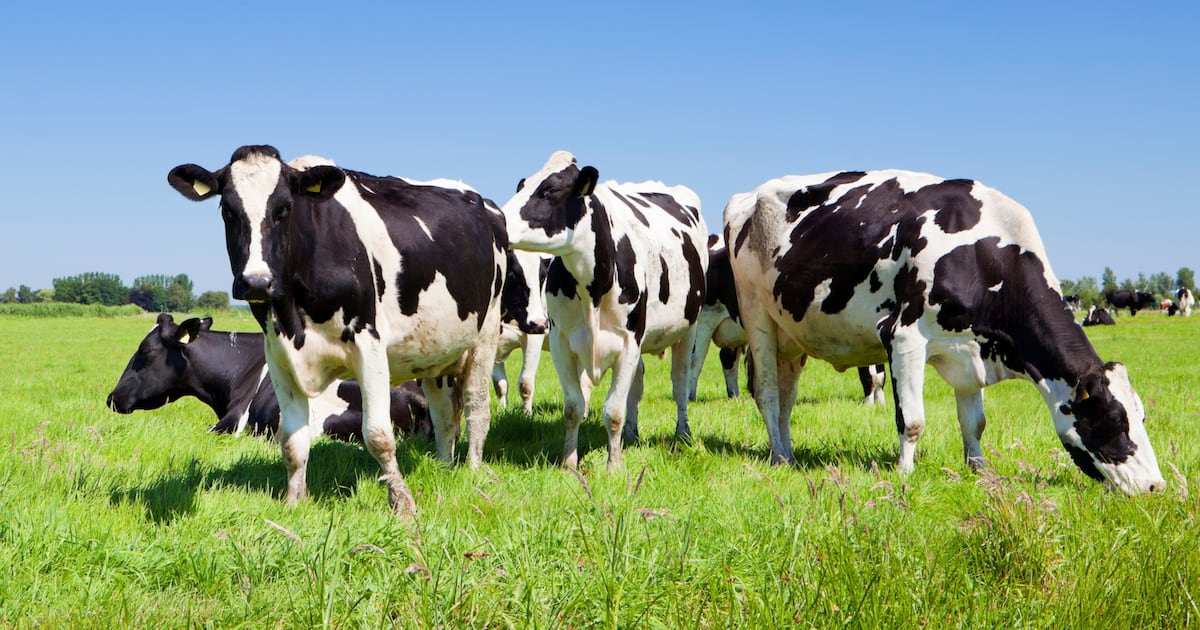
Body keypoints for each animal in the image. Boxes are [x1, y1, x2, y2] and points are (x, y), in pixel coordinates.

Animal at [167, 146, 507, 516]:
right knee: (444, 413)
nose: (257, 282)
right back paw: (444, 467)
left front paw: (402, 504)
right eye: (228, 210)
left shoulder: (368, 344)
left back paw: (472, 471)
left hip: (486, 332)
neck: (295, 318)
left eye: (285, 208)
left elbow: (378, 435)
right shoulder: (278, 356)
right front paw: (294, 503)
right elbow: (293, 441)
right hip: (435, 352)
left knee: (476, 406)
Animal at [493, 248, 552, 415]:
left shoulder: (534, 337)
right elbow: (500, 385)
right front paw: (501, 411)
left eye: (543, 277)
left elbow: (525, 384)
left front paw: (526, 415)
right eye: (512, 275)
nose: (539, 323)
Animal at [500, 151, 708, 470]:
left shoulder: (629, 341)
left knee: (680, 381)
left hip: (689, 328)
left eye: (550, 190)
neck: (593, 287)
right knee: (638, 383)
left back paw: (682, 434)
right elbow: (574, 406)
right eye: (521, 186)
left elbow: (613, 411)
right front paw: (569, 463)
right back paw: (632, 434)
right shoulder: (561, 342)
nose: (496, 219)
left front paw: (614, 467)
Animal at [725, 169, 1164, 494]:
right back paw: (779, 457)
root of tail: (747, 196)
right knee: (767, 393)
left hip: (792, 335)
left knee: (787, 398)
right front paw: (903, 474)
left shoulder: (971, 351)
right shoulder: (903, 337)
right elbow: (912, 420)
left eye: (1141, 415)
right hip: (757, 316)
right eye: (1113, 419)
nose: (1156, 486)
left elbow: (974, 423)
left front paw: (980, 470)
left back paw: (788, 453)